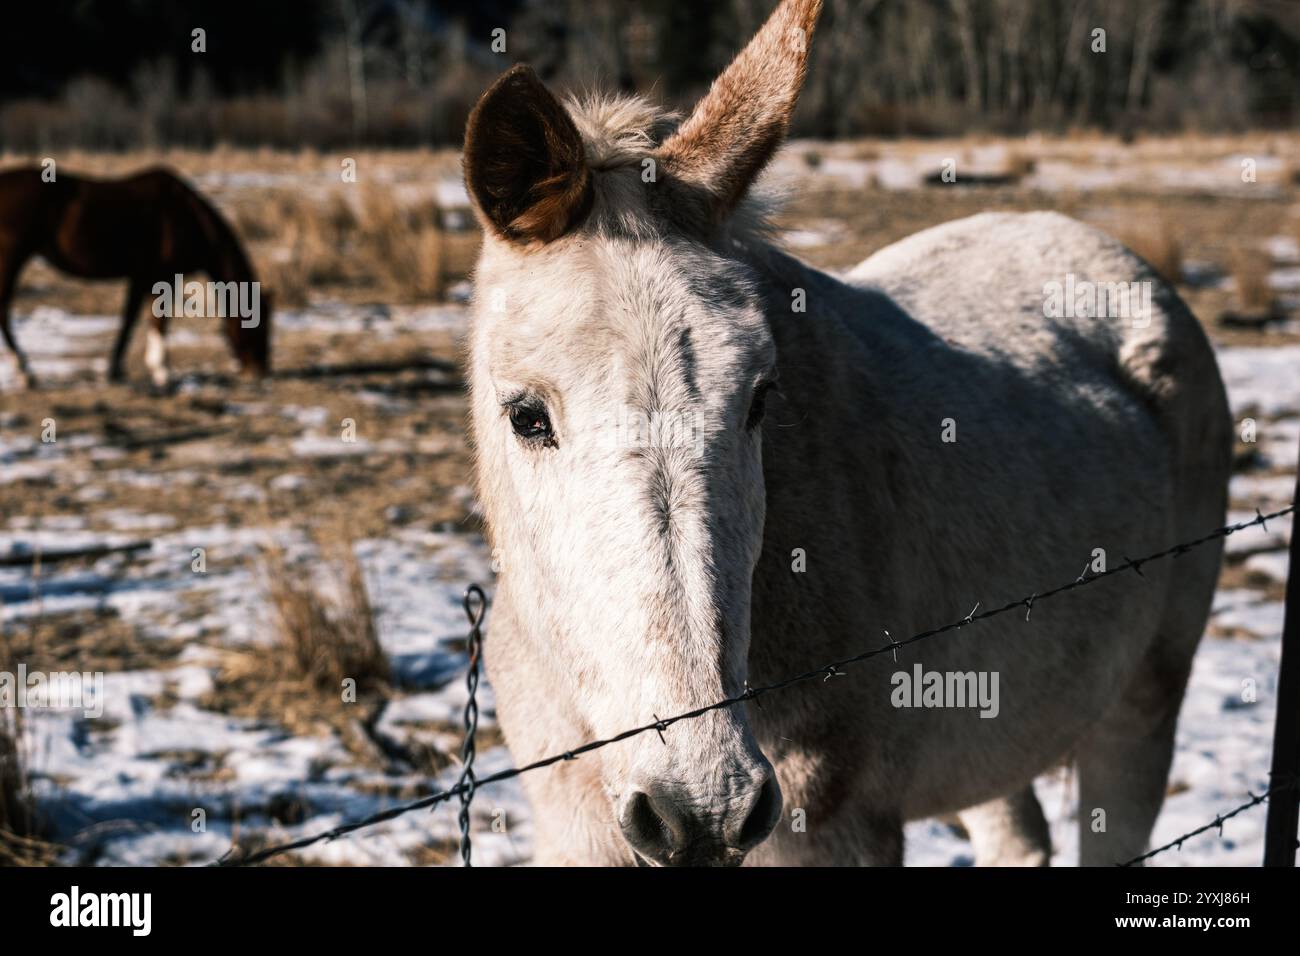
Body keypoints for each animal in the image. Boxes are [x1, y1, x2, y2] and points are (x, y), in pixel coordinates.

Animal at [0, 167, 270, 390]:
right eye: (256, 322)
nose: (260, 371)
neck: (186, 213)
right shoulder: (162, 276)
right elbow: (158, 321)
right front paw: (162, 372)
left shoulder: (140, 277)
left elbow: (128, 322)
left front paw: (115, 370)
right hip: (12, 257)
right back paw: (25, 372)